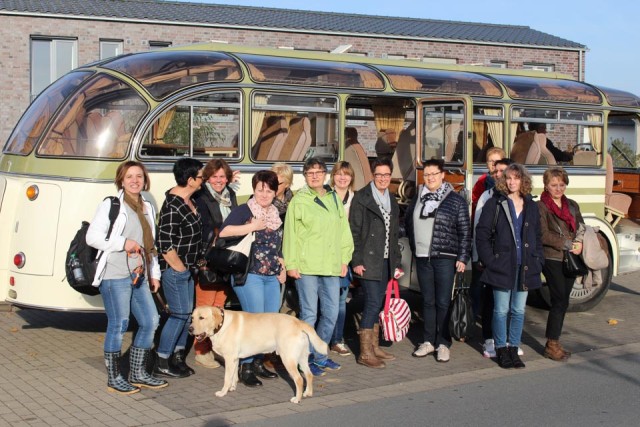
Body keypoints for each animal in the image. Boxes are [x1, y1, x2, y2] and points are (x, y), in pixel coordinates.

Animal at [189, 306, 330, 402]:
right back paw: (308, 393)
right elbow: (233, 376)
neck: (221, 325)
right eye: (192, 318)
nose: (189, 329)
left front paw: (223, 392)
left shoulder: (229, 358)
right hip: (301, 357)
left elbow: (227, 378)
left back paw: (297, 399)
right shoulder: (234, 359)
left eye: (202, 317)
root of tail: (299, 322)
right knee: (309, 374)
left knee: (299, 379)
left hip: (288, 358)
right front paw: (232, 388)